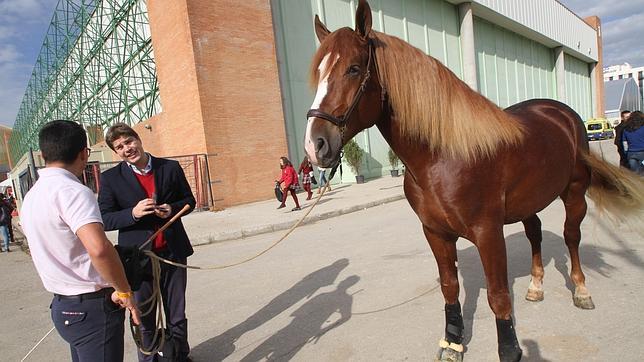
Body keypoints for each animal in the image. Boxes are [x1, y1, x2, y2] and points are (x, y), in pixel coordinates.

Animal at [304, 1, 644, 360]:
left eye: (354, 69)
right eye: (319, 73)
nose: (315, 145)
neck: (442, 157)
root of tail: (563, 114)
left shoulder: (487, 232)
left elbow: (497, 294)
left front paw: (509, 349)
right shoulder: (435, 233)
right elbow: (450, 286)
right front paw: (453, 341)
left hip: (575, 193)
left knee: (571, 236)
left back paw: (581, 290)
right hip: (529, 203)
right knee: (536, 235)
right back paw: (536, 286)